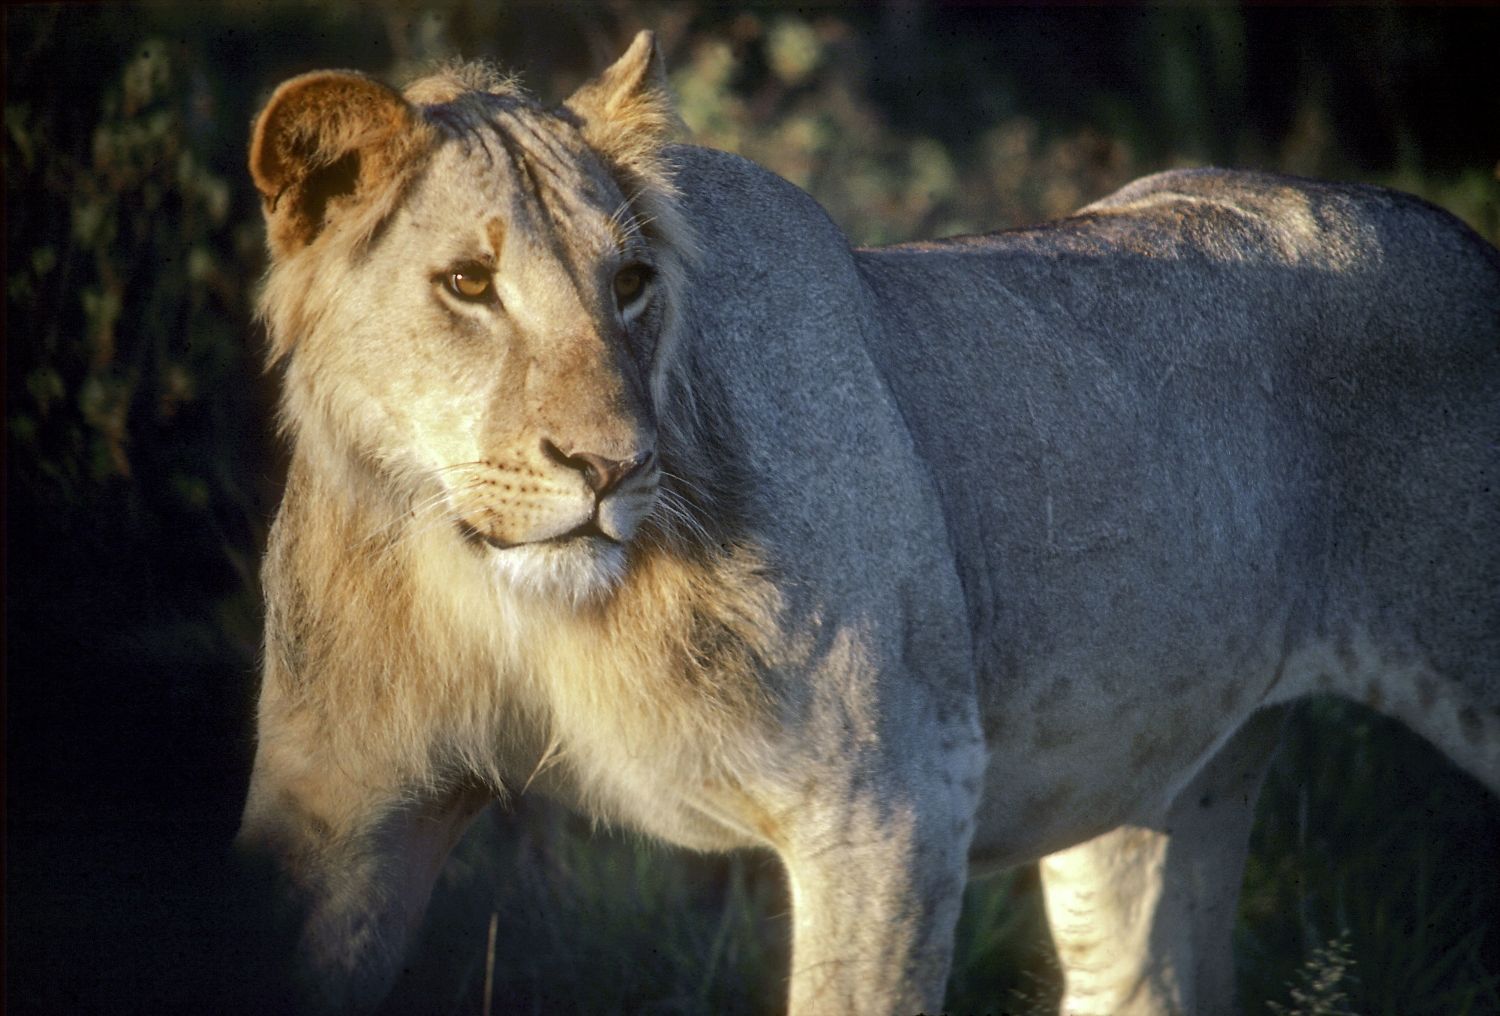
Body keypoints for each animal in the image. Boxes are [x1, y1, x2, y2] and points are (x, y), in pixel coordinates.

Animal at [237, 27, 1500, 1008]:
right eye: (467, 284)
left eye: (632, 284)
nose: (612, 465)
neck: (499, 586)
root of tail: (1453, 234)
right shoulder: (340, 808)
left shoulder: (893, 796)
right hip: (1161, 773)